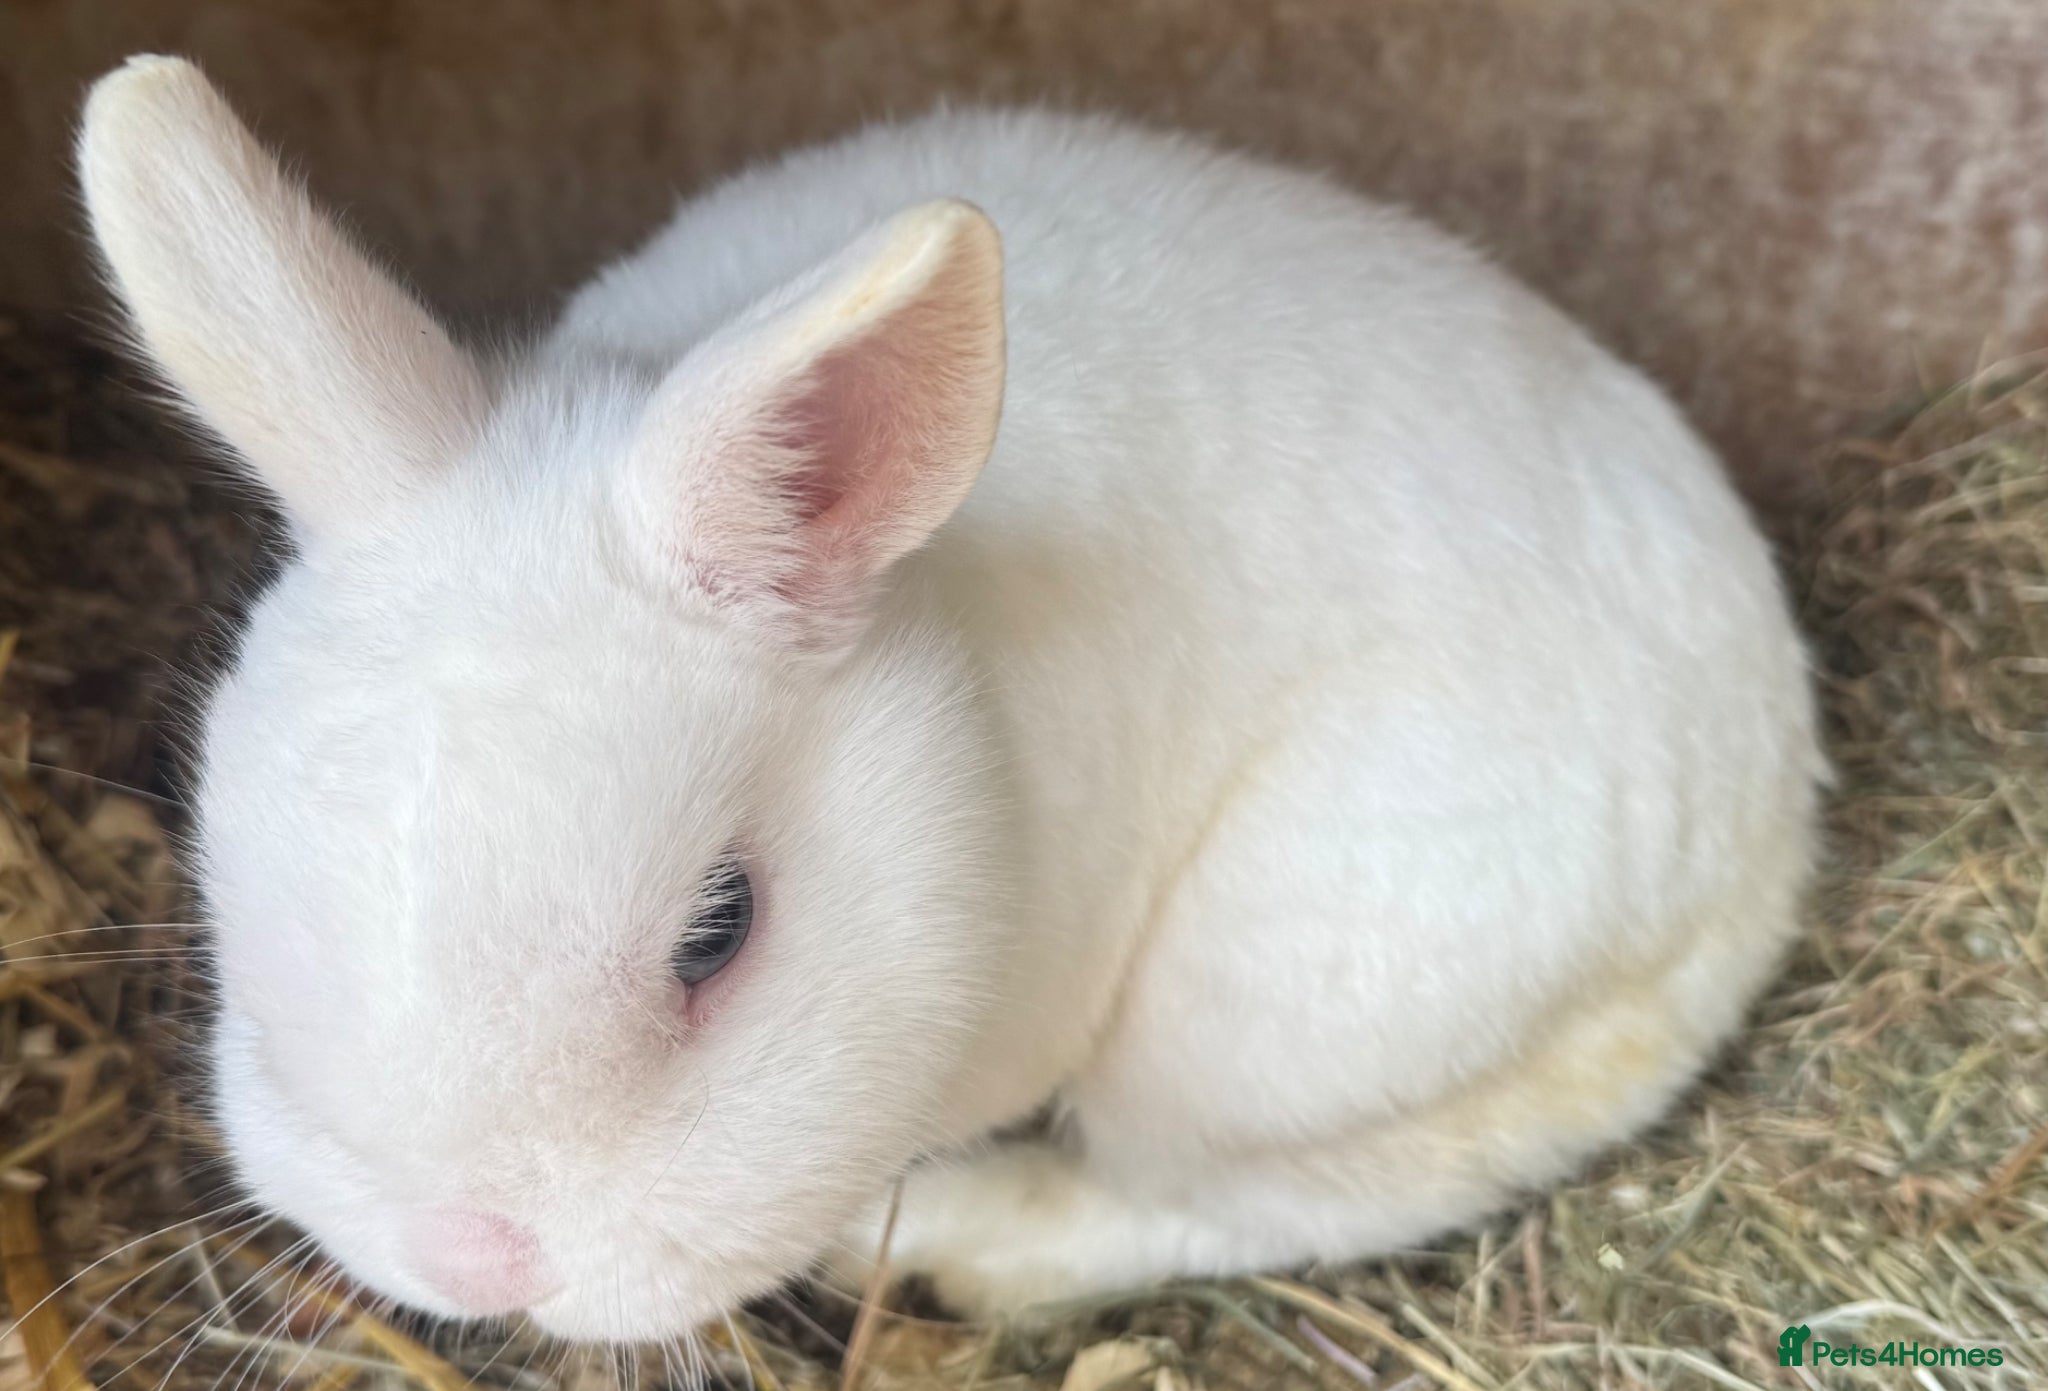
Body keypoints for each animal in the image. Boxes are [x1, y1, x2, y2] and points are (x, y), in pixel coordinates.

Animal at [78, 53, 1821, 1340]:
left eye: (719, 931)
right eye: (231, 874)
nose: (474, 1257)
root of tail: (1778, 772)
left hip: (1277, 1018)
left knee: (1241, 1195)